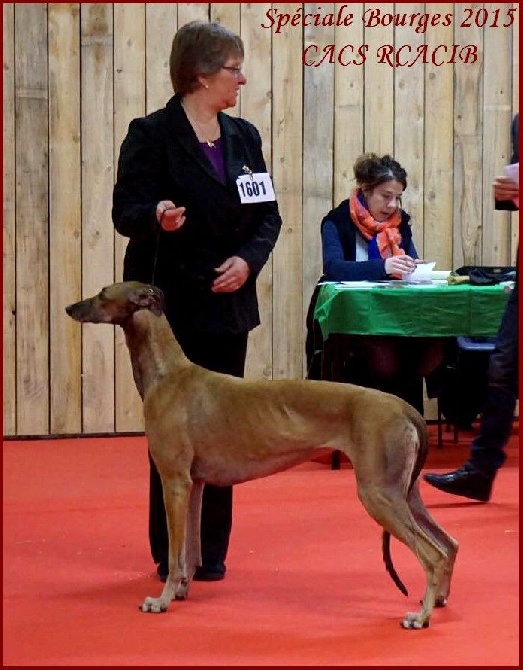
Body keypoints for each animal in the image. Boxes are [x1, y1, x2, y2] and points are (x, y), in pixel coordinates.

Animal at [65, 280, 458, 628]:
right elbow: (190, 549)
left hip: (378, 493)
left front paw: (161, 600)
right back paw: (437, 600)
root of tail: (405, 407)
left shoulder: (174, 482)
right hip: (404, 492)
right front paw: (181, 591)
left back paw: (420, 616)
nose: (70, 308)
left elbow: (176, 556)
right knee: (449, 543)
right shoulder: (195, 485)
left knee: (433, 554)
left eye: (103, 293)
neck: (169, 374)